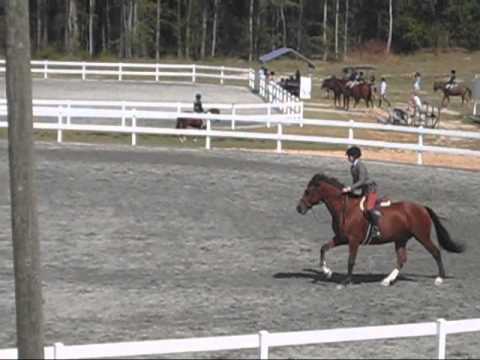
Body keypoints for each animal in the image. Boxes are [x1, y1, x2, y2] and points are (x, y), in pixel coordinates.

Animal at [294, 174, 464, 286]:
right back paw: (387, 280)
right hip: (400, 239)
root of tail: (422, 207)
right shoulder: (342, 238)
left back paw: (439, 278)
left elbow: (351, 260)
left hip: (422, 236)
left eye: (308, 191)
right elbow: (323, 248)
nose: (299, 208)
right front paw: (327, 272)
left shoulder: (353, 241)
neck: (345, 208)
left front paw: (346, 281)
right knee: (402, 259)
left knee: (435, 252)